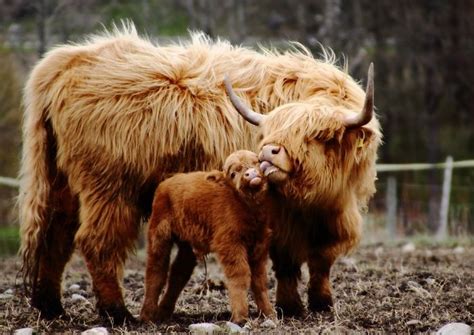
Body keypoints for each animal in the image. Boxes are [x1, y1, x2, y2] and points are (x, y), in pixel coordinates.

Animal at [140, 151, 274, 324]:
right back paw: (147, 316)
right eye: (233, 174)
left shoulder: (260, 244)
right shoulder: (229, 243)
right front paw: (240, 317)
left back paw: (163, 313)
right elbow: (240, 275)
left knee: (179, 272)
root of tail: (166, 182)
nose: (250, 173)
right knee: (156, 270)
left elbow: (260, 280)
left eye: (256, 162)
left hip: (187, 244)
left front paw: (269, 313)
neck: (249, 208)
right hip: (158, 234)